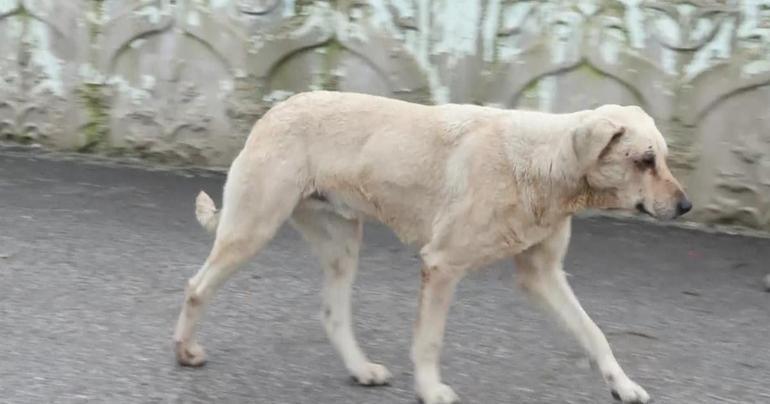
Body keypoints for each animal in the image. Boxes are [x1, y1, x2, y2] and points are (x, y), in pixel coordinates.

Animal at [174, 90, 688, 402]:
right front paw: (429, 390)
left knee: (332, 313)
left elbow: (594, 333)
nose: (685, 206)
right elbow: (429, 340)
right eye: (645, 160)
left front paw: (623, 386)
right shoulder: (442, 266)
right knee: (197, 286)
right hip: (253, 228)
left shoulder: (542, 277)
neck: (542, 163)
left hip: (342, 245)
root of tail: (274, 110)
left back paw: (361, 369)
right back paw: (185, 351)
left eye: (662, 159)